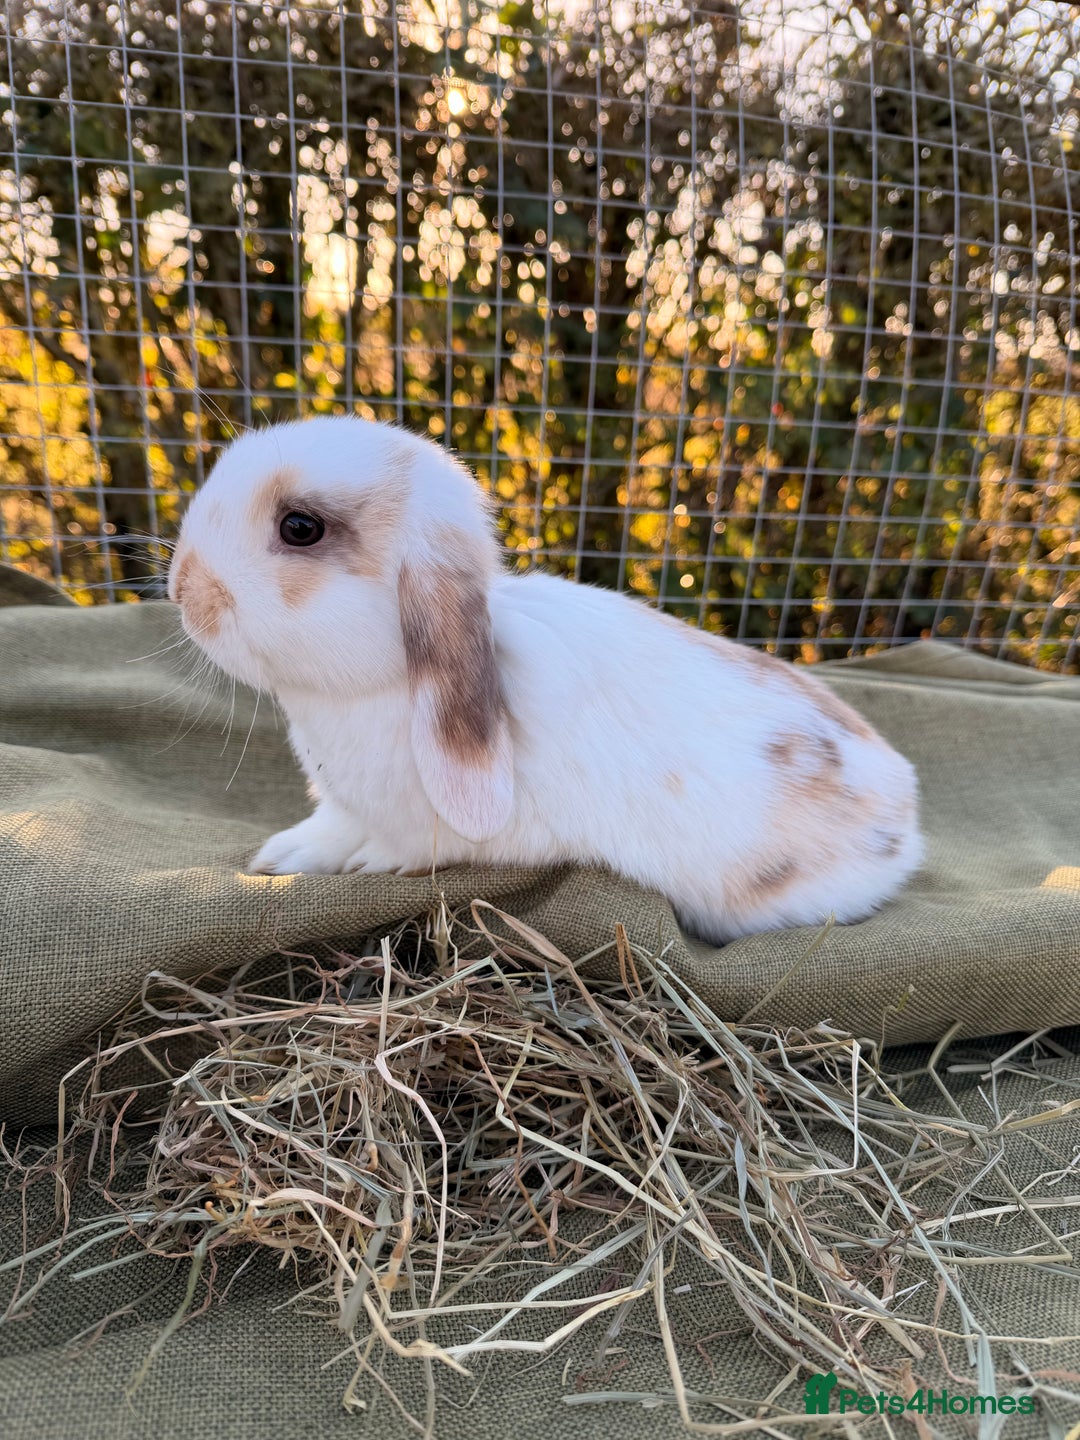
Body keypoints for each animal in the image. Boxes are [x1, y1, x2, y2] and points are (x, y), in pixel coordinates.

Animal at [167, 415, 923, 944]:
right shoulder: (343, 803)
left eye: (299, 527)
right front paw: (282, 855)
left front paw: (365, 864)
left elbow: (394, 848)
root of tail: (906, 808)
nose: (181, 588)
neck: (381, 691)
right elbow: (325, 829)